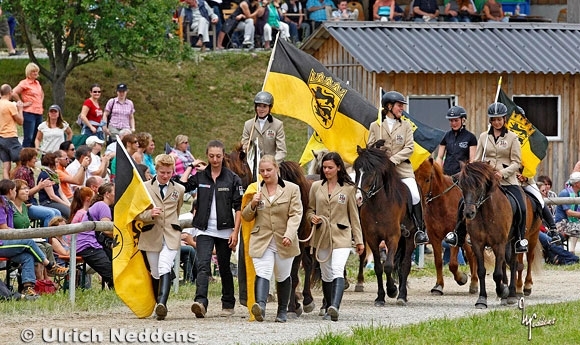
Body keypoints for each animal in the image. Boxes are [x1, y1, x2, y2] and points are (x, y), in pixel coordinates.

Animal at [354, 144, 416, 306]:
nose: (358, 198)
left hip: (410, 238)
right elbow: (378, 267)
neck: (379, 205)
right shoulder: (372, 238)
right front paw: (380, 297)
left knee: (405, 265)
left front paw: (392, 290)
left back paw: (402, 296)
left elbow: (388, 265)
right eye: (357, 171)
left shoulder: (393, 237)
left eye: (370, 172)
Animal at [414, 157, 478, 294]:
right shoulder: (434, 236)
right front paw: (438, 285)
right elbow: (438, 261)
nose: (421, 200)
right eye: (415, 177)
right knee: (470, 253)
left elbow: (453, 264)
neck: (442, 204)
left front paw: (462, 278)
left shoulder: (454, 235)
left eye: (428, 179)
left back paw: (475, 283)